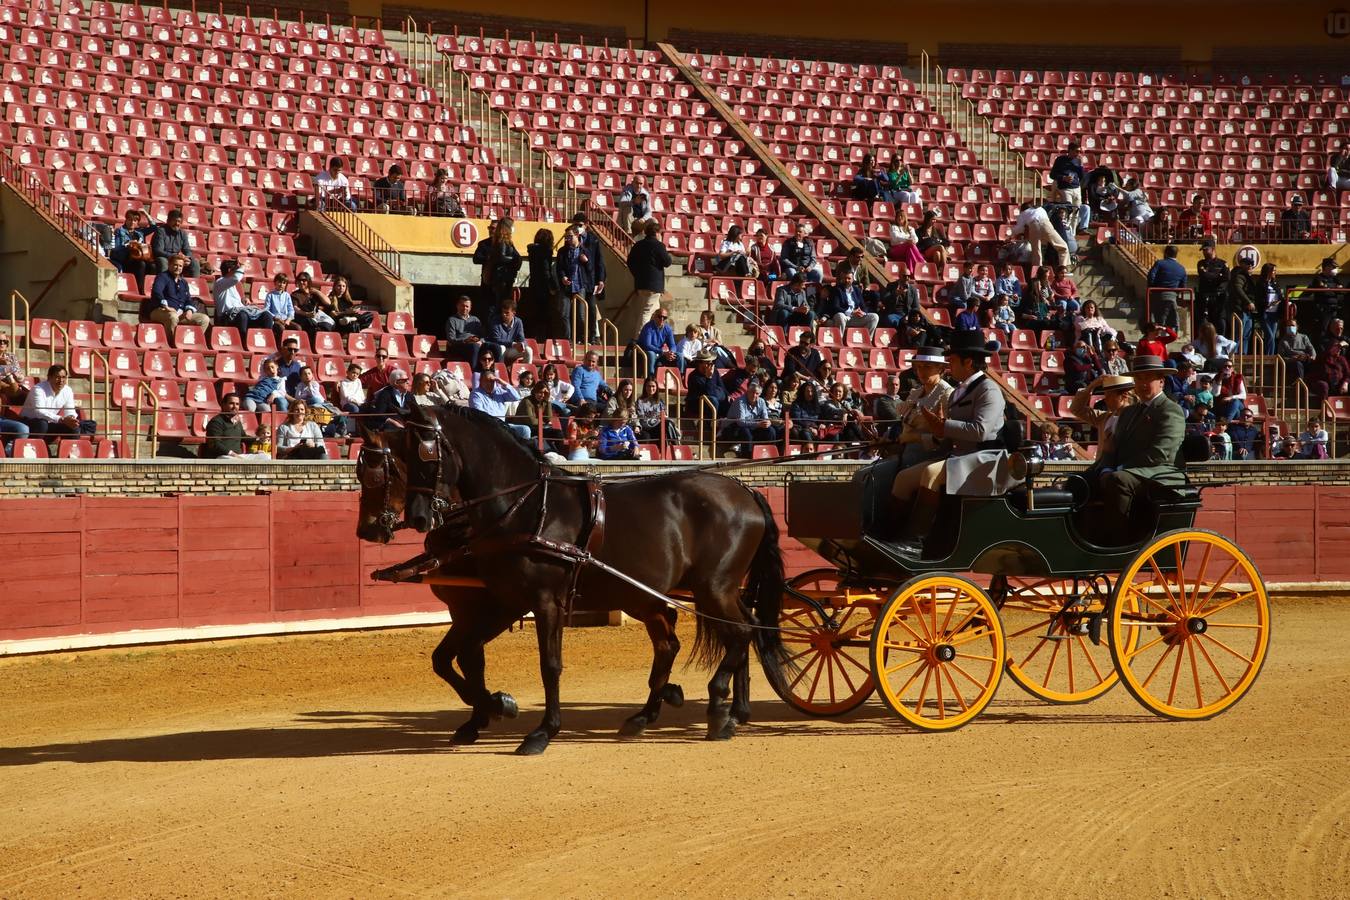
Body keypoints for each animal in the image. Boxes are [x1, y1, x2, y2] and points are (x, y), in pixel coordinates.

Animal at [356, 407, 788, 755]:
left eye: (421, 458)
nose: (371, 529)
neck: (527, 509)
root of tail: (745, 491)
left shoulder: (539, 601)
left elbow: (547, 665)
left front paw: (539, 730)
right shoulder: (497, 604)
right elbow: (452, 658)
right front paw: (491, 709)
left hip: (713, 588)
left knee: (741, 632)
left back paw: (718, 708)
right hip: (670, 593)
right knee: (693, 639)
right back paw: (675, 713)